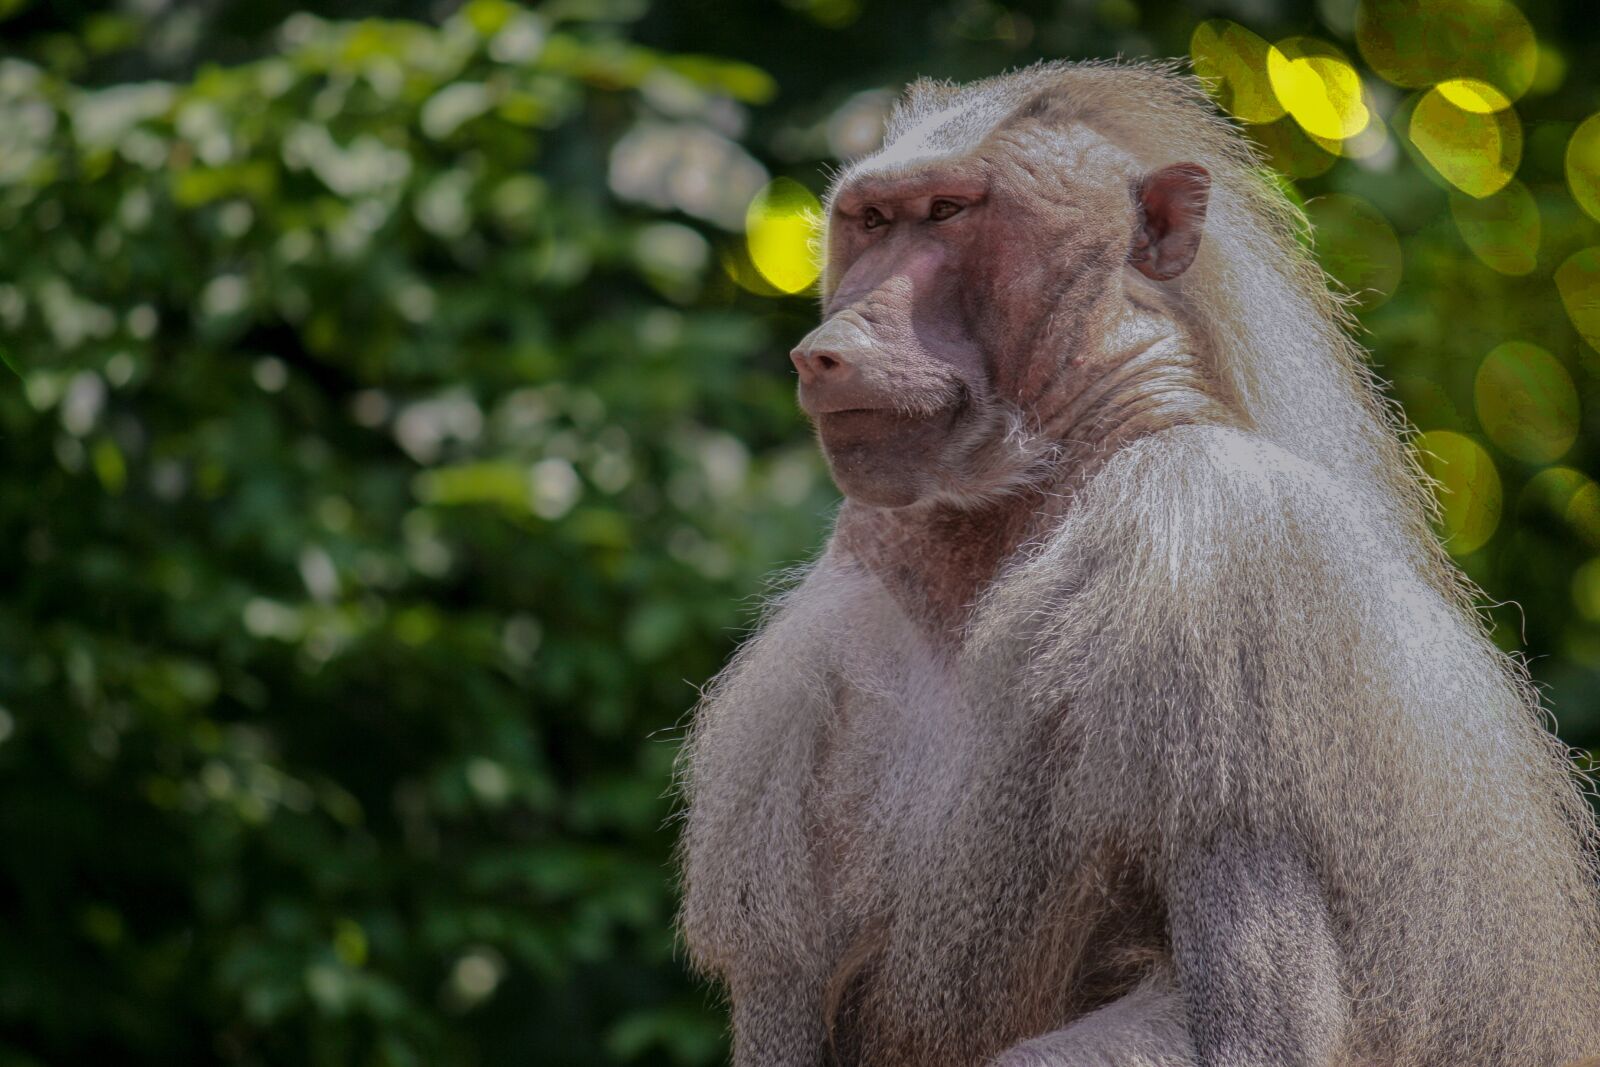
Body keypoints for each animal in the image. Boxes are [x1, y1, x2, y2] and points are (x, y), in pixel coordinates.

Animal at [676, 61, 1600, 1067]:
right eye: (873, 220)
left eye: (949, 211)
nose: (828, 351)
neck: (1027, 498)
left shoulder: (1217, 557)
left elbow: (1253, 1025)